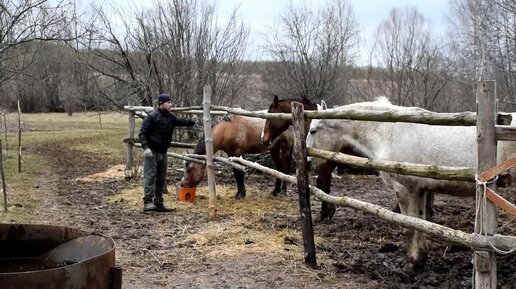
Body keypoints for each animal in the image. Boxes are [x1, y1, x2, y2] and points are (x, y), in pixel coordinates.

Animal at [304, 96, 512, 268]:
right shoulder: (419, 190)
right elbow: (419, 222)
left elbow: (409, 226)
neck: (388, 132)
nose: (307, 162)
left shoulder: (404, 190)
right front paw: (420, 258)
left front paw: (412, 262)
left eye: (313, 130)